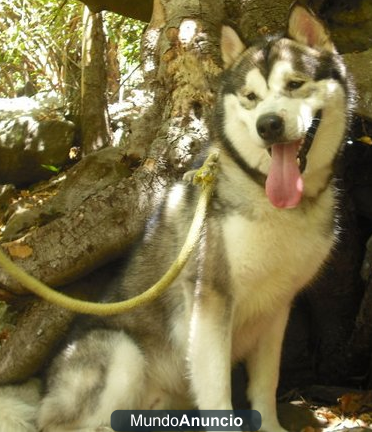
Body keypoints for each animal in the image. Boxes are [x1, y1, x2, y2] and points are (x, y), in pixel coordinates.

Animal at [0, 4, 354, 432]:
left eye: (295, 84)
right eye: (251, 98)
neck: (269, 198)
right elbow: (217, 394)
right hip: (121, 353)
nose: (268, 125)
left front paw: (271, 425)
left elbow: (266, 385)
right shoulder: (209, 302)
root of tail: (42, 390)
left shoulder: (277, 308)